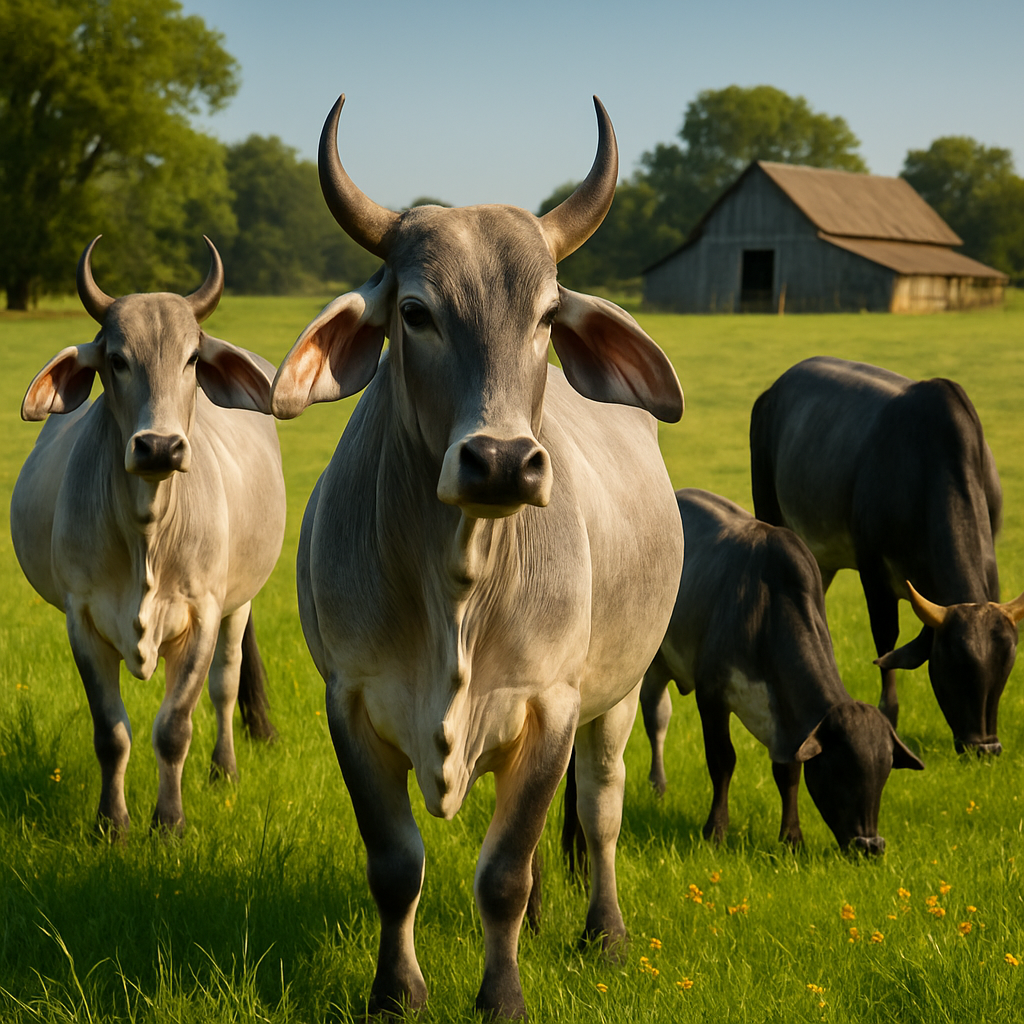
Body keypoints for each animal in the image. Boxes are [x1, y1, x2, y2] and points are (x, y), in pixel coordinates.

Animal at [10, 237, 286, 835]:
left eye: (191, 358)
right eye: (116, 359)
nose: (159, 446)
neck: (148, 529)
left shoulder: (203, 613)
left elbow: (174, 727)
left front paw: (170, 823)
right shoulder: (83, 620)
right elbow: (112, 733)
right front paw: (112, 824)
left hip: (239, 604)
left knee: (225, 685)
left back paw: (224, 771)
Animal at [270, 95, 684, 1019]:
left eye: (546, 317)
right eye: (415, 312)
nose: (500, 460)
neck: (457, 585)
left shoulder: (553, 704)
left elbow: (504, 875)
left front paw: (502, 996)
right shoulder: (350, 703)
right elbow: (397, 868)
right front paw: (396, 993)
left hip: (618, 697)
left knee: (600, 810)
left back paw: (603, 932)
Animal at [638, 488, 923, 854]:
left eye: (884, 773)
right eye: (841, 771)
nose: (870, 845)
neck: (765, 612)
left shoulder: (788, 721)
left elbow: (788, 772)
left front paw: (791, 837)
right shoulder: (711, 696)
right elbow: (722, 761)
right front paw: (715, 830)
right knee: (654, 718)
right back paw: (657, 784)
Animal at [750, 356, 1024, 755]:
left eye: (1006, 667)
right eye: (951, 666)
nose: (985, 750)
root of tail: (774, 389)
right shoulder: (873, 571)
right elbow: (886, 638)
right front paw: (889, 717)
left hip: (821, 557)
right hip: (769, 507)